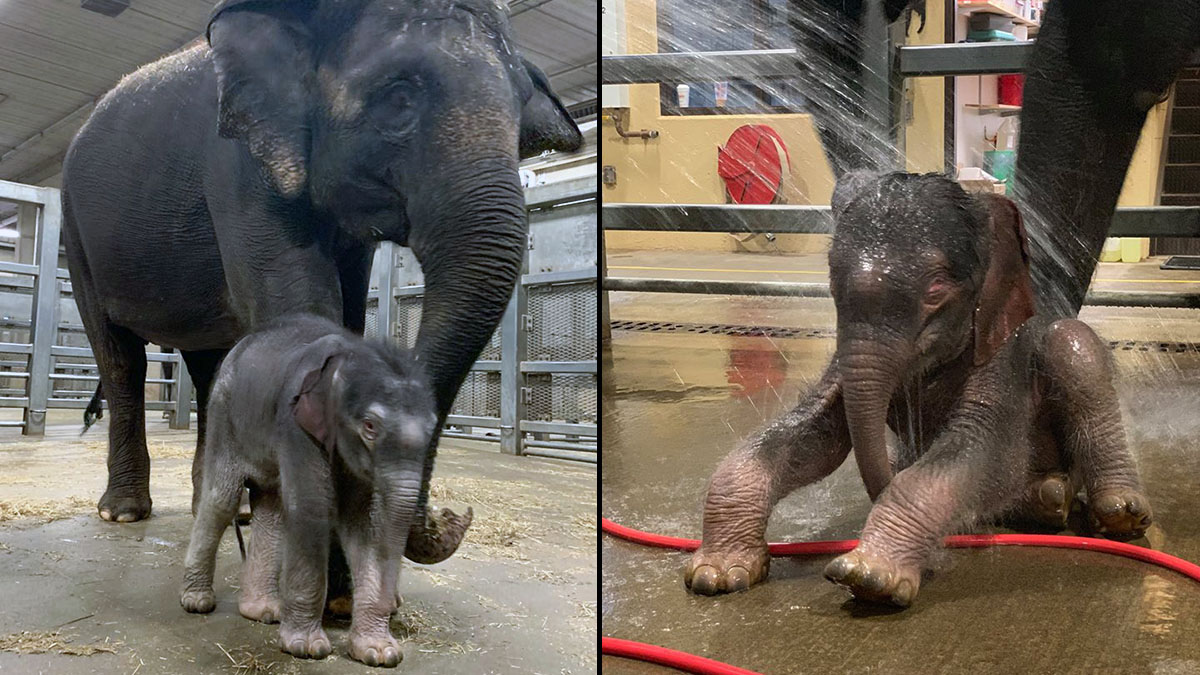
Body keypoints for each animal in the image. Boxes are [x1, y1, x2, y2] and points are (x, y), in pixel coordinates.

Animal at [62, 0, 580, 557]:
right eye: (398, 98)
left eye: (520, 108)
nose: (448, 518)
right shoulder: (236, 165)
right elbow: (300, 306)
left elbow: (346, 313)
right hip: (77, 234)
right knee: (119, 358)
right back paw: (122, 513)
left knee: (208, 367)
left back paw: (224, 509)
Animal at [180, 314, 460, 662]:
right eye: (370, 427)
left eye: (433, 428)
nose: (394, 606)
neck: (346, 358)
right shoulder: (296, 426)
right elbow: (312, 506)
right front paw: (306, 648)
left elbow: (363, 522)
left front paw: (379, 653)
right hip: (224, 415)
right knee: (222, 500)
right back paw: (197, 602)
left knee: (271, 507)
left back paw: (263, 612)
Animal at [681, 170, 1147, 607]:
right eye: (831, 280)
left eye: (936, 289)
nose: (890, 473)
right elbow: (816, 434)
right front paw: (719, 575)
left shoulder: (1000, 351)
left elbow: (986, 451)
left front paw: (870, 577)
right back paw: (1048, 498)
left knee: (1072, 343)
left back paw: (1117, 513)